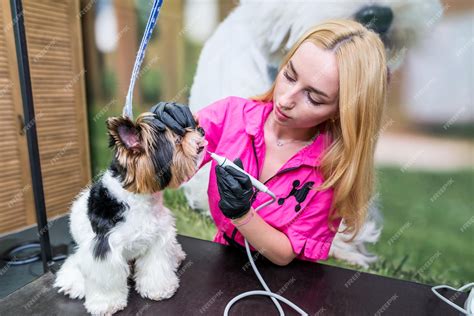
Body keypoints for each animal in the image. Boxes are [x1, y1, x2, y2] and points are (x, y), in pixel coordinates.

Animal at [53, 112, 206, 314]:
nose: (201, 129)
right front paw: (106, 303)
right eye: (178, 139)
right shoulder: (104, 248)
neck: (139, 199)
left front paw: (159, 289)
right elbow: (105, 280)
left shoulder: (158, 239)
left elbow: (156, 267)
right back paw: (72, 284)